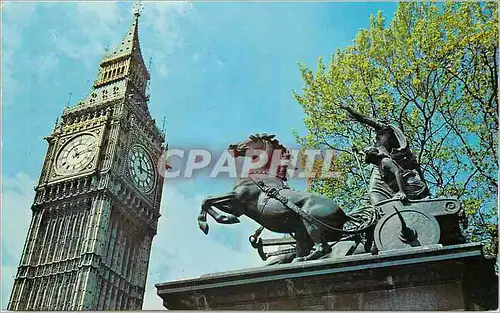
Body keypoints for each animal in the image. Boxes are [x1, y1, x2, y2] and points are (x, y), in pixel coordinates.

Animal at [197, 133, 358, 262]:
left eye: (252, 138)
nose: (232, 146)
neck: (260, 176)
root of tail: (343, 215)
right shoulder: (238, 208)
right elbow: (212, 203)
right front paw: (227, 218)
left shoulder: (237, 197)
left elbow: (207, 200)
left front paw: (206, 224)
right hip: (302, 233)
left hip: (312, 225)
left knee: (323, 248)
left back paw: (301, 260)